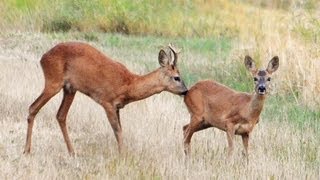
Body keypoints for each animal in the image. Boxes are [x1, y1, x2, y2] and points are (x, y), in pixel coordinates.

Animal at [23, 41, 188, 155]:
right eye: (177, 77)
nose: (186, 91)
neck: (128, 84)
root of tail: (42, 58)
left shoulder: (117, 107)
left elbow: (120, 130)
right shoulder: (107, 102)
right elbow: (117, 131)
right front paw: (123, 156)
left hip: (70, 88)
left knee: (61, 115)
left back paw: (72, 152)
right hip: (53, 81)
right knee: (33, 107)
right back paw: (27, 150)